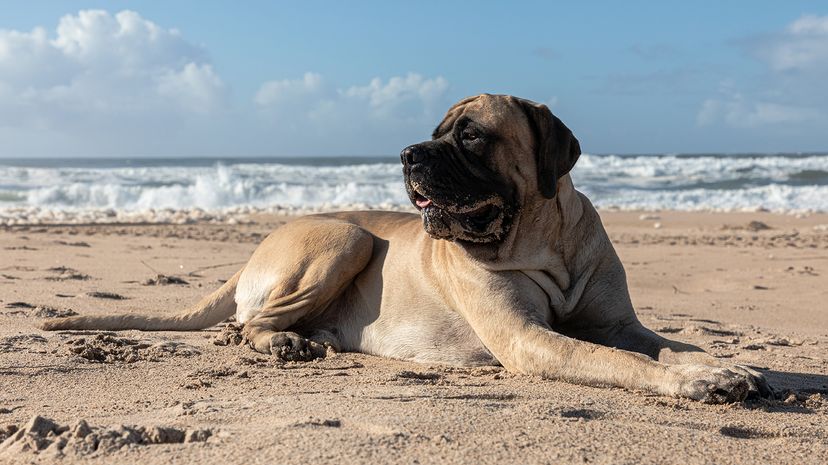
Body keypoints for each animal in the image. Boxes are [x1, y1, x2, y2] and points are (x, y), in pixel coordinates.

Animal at [38, 94, 772, 402]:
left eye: (470, 135)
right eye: (436, 131)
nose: (407, 154)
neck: (544, 237)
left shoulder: (620, 323)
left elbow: (665, 343)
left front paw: (721, 364)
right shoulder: (528, 338)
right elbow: (620, 362)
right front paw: (695, 381)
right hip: (345, 236)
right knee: (247, 323)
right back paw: (283, 343)